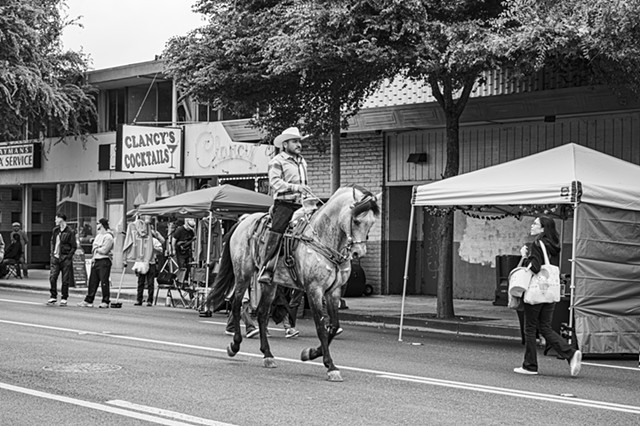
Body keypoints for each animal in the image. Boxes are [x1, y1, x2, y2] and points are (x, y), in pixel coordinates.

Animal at [210, 185, 380, 382]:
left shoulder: (334, 292)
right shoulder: (314, 290)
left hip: (269, 284)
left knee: (262, 314)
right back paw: (234, 345)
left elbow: (334, 326)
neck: (323, 238)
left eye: (371, 222)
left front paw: (310, 353)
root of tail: (244, 220)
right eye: (357, 220)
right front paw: (330, 366)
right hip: (243, 274)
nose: (358, 253)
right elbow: (321, 327)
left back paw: (268, 355)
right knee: (236, 304)